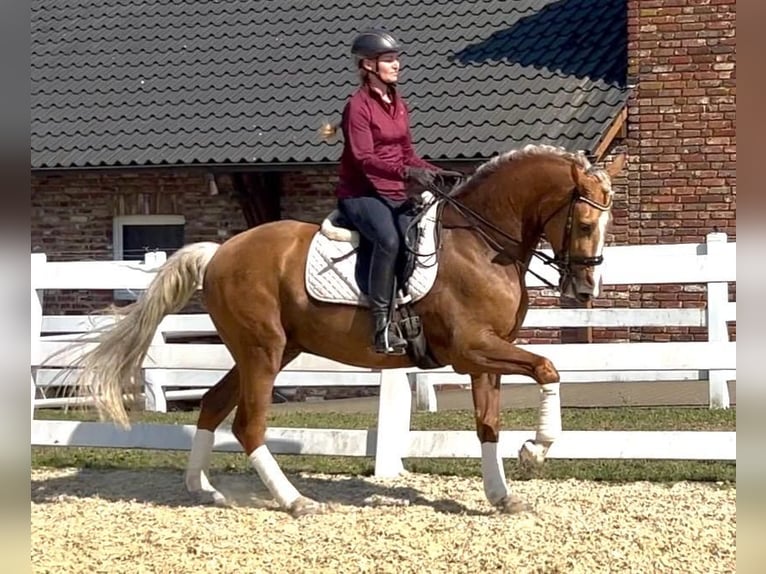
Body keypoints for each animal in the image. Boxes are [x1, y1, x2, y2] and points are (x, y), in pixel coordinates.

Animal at [73, 144, 626, 517]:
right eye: (582, 223)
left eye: (607, 223)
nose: (585, 289)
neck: (482, 243)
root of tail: (219, 253)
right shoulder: (472, 348)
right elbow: (548, 369)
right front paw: (536, 449)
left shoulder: (485, 355)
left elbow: (488, 424)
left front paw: (502, 495)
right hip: (262, 352)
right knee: (248, 425)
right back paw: (296, 501)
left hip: (268, 351)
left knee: (211, 405)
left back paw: (203, 489)